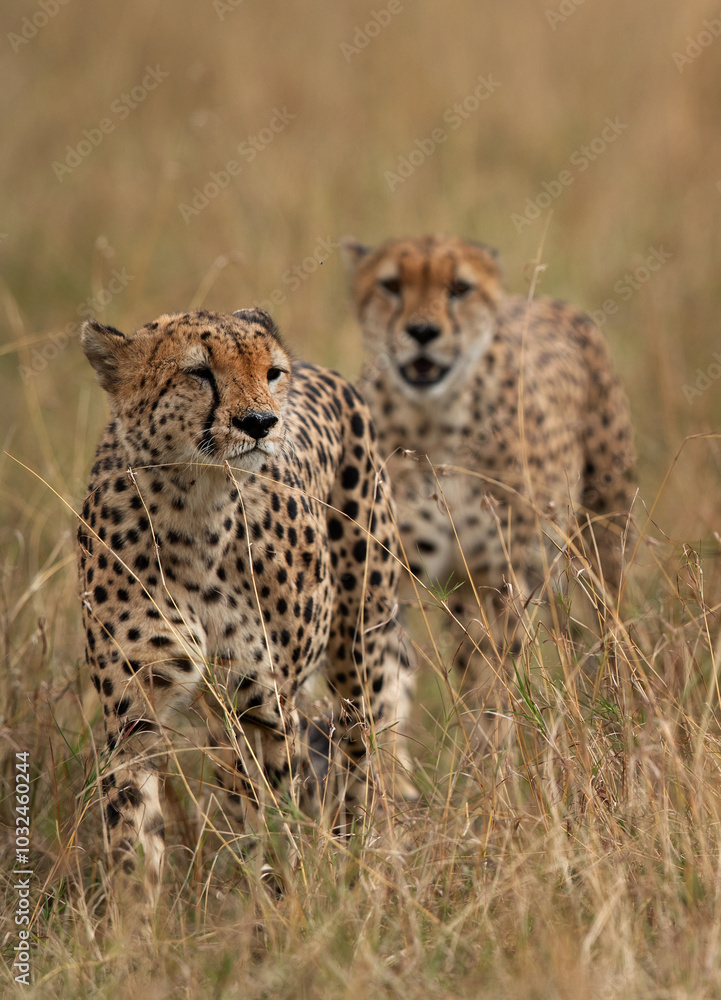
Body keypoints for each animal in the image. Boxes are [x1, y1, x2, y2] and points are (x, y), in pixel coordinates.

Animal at [77, 307, 413, 909]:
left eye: (271, 373)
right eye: (198, 373)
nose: (260, 422)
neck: (196, 507)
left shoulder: (264, 706)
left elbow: (274, 818)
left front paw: (283, 907)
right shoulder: (134, 713)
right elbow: (133, 832)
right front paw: (133, 924)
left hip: (361, 650)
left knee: (364, 760)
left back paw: (368, 865)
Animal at [342, 234, 635, 738]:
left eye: (459, 288)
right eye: (391, 285)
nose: (423, 332)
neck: (433, 422)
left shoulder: (504, 577)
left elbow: (495, 681)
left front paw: (492, 748)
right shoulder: (386, 581)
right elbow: (386, 685)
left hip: (602, 537)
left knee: (609, 620)